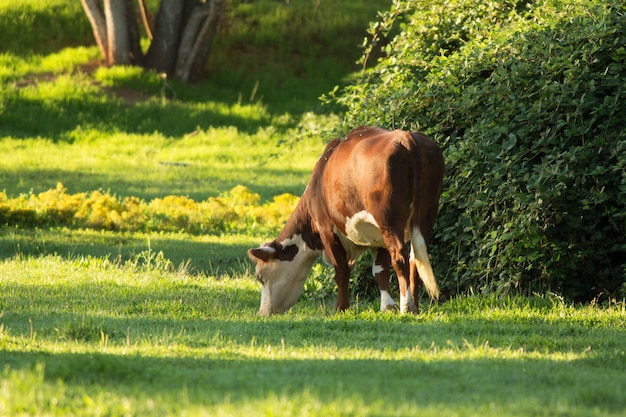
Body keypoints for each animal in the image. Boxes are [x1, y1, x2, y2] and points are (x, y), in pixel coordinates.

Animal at [247, 125, 444, 314]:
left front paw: (341, 308)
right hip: (427, 213)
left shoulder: (327, 228)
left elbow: (341, 271)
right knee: (415, 258)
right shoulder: (376, 238)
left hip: (389, 220)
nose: (262, 313)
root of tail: (406, 137)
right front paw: (387, 306)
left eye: (260, 277)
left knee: (400, 256)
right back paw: (415, 306)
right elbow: (380, 271)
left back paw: (406, 306)